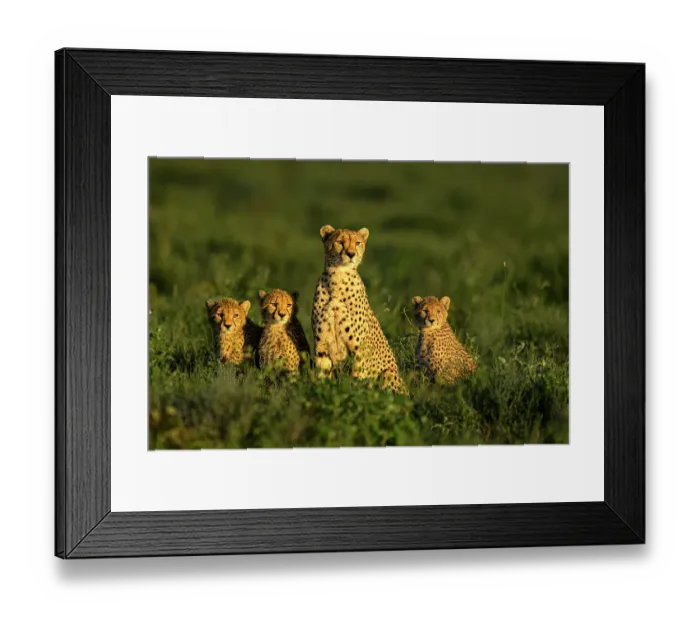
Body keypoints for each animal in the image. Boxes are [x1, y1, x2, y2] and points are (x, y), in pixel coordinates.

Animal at [312, 224, 407, 394]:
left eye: (357, 243)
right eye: (340, 242)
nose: (351, 254)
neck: (337, 278)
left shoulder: (358, 351)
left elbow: (355, 383)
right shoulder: (321, 347)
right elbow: (323, 380)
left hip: (389, 374)